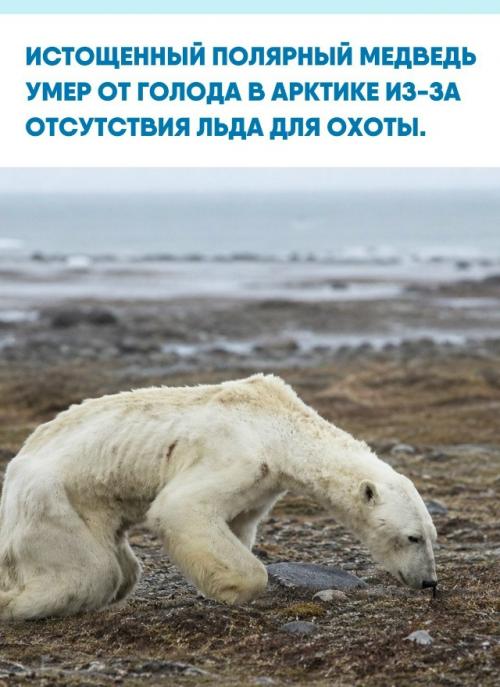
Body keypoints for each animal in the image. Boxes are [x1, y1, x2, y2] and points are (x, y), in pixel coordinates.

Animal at [0, 374, 437, 620]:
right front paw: (233, 589)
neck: (278, 425)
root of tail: (16, 468)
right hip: (53, 500)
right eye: (412, 537)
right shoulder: (235, 453)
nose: (429, 581)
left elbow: (237, 523)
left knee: (123, 569)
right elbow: (181, 507)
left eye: (432, 536)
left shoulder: (263, 483)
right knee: (92, 571)